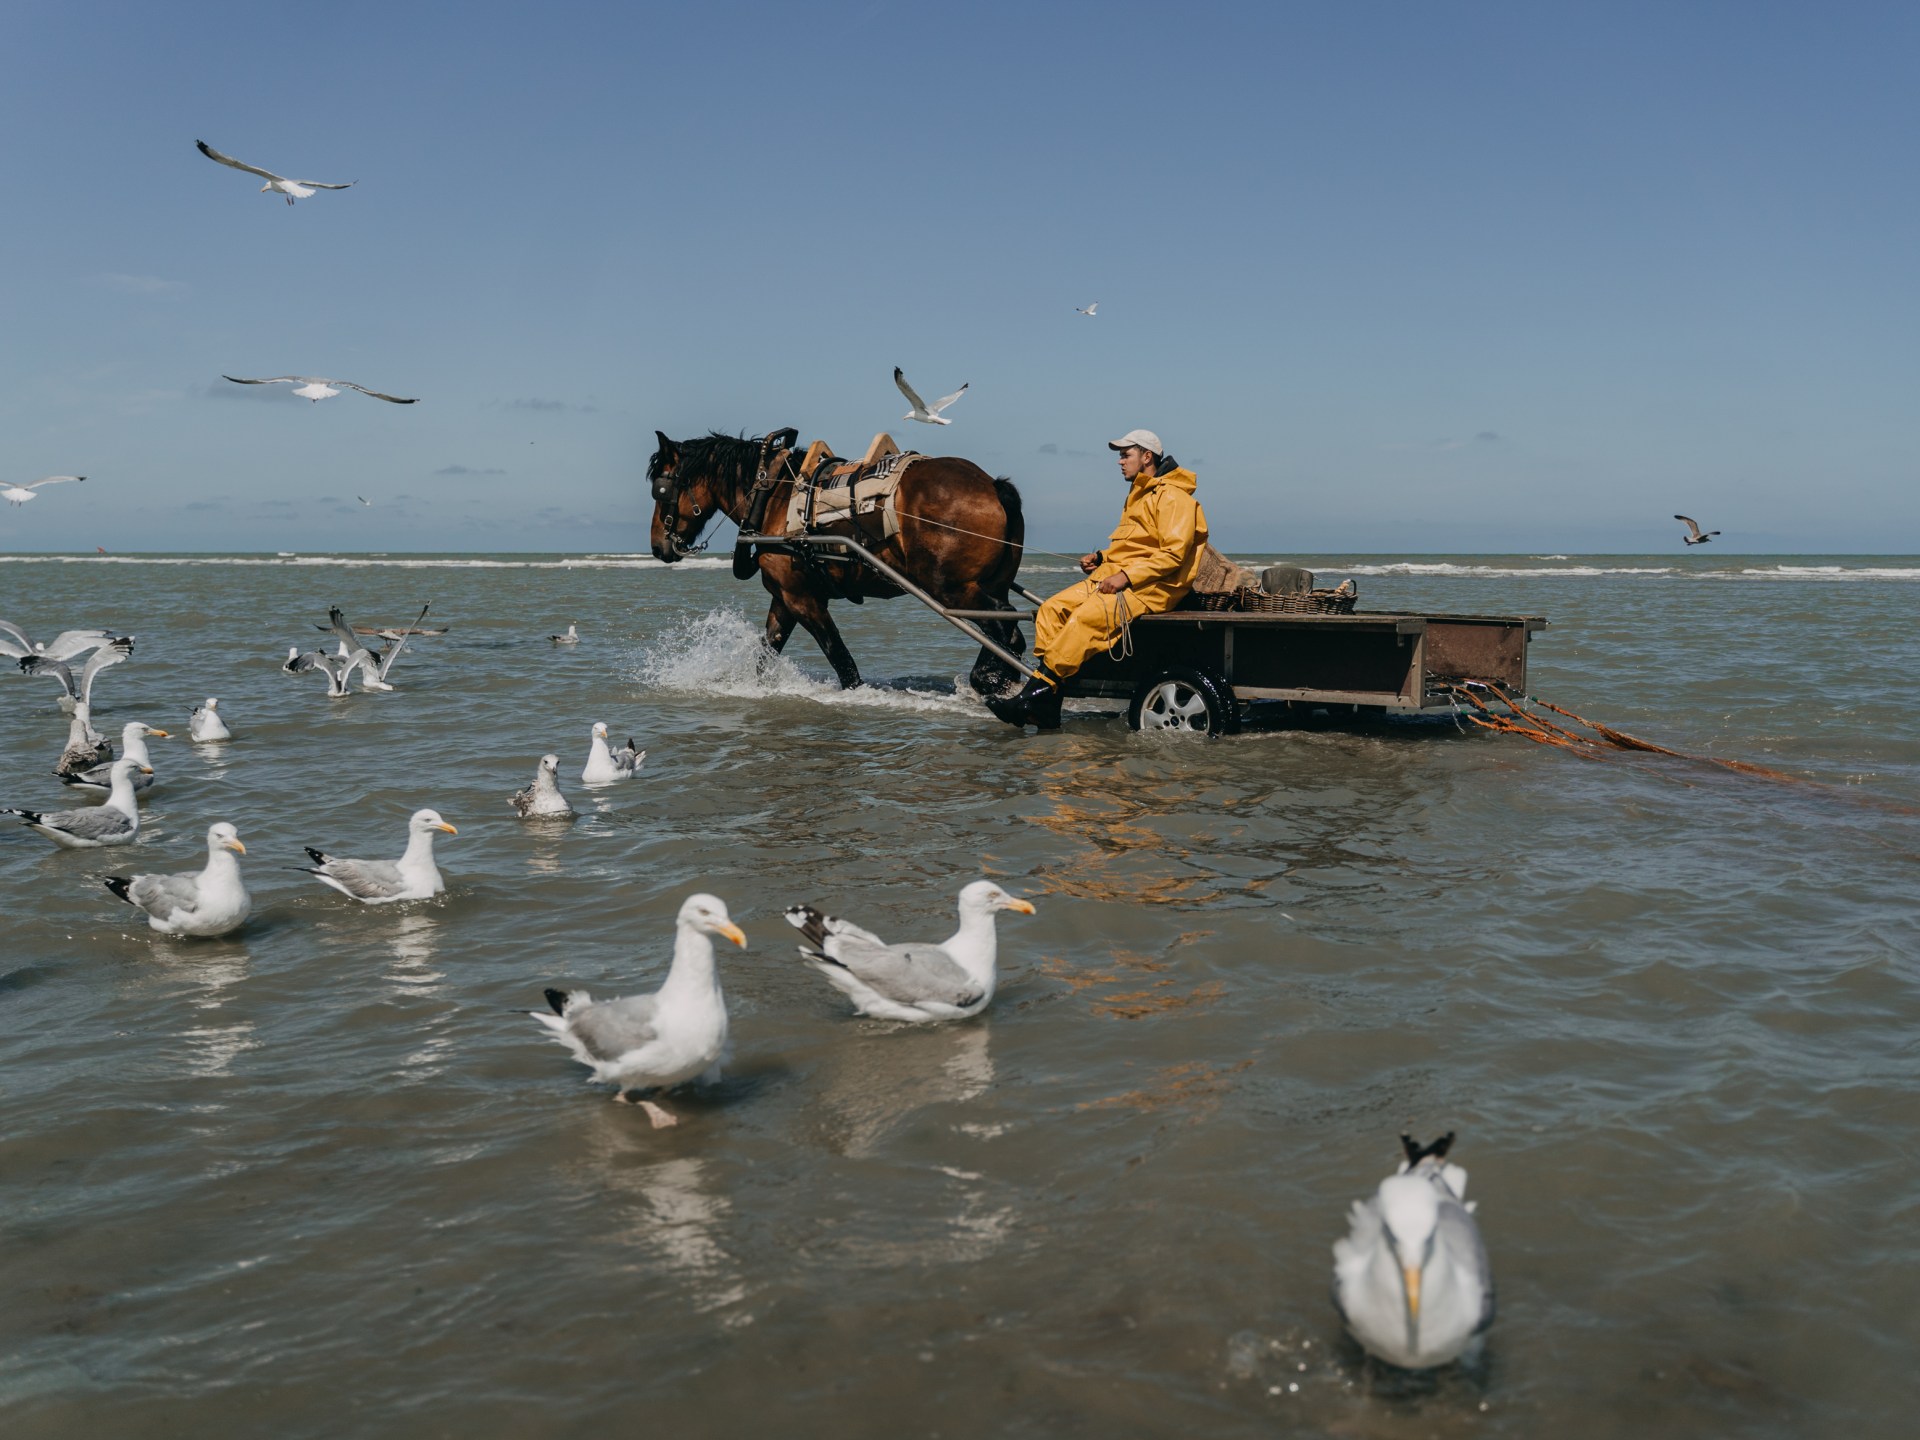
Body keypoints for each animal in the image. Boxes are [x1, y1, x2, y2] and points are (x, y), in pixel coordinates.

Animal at [648, 428, 1036, 695]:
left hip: (949, 588)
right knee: (1007, 629)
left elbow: (841, 659)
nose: (657, 546)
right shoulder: (785, 599)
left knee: (1004, 626)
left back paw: (989, 680)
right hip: (988, 585)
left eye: (661, 491)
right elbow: (766, 653)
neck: (772, 493)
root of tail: (992, 485)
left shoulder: (803, 600)